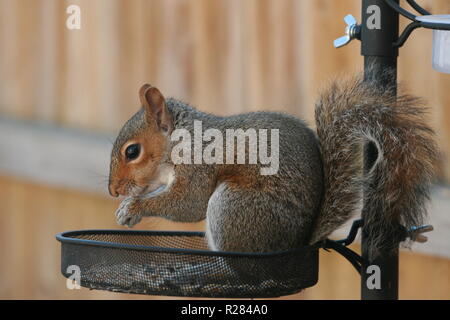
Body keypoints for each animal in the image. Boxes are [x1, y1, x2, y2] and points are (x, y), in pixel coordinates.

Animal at [107, 71, 438, 258]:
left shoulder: (198, 166)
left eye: (132, 151)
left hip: (234, 206)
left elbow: (189, 203)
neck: (182, 139)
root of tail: (298, 240)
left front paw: (134, 208)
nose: (112, 191)